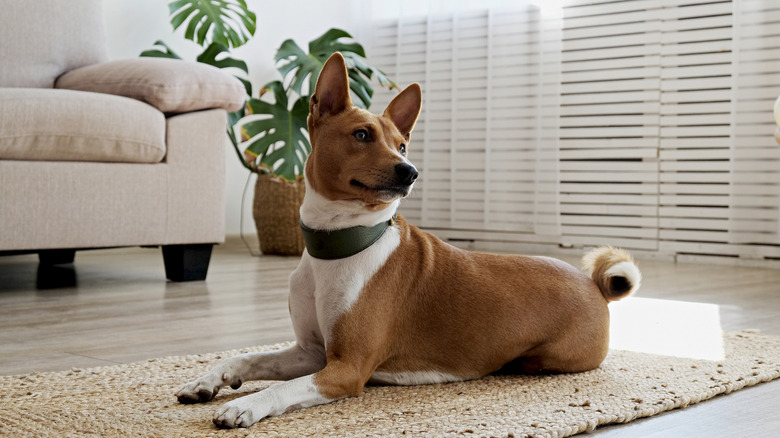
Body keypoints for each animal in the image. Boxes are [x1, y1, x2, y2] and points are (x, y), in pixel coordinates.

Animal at [175, 53, 640, 430]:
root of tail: (593, 284)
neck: (338, 246)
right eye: (362, 135)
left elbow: (280, 389)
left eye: (401, 145)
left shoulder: (345, 368)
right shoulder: (312, 353)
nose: (410, 170)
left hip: (549, 357)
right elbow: (245, 358)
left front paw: (245, 406)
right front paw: (206, 381)